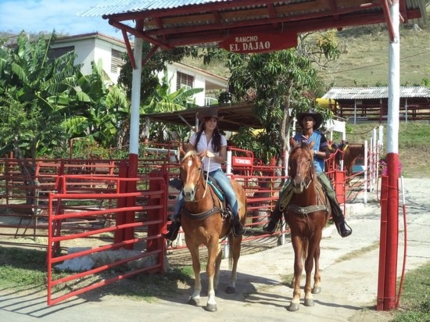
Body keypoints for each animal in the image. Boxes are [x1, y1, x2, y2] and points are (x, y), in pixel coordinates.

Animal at [178, 150, 247, 312]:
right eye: (181, 168)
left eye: (198, 168)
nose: (188, 193)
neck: (199, 208)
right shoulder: (191, 241)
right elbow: (197, 266)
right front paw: (196, 295)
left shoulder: (212, 239)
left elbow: (209, 267)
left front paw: (211, 301)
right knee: (220, 254)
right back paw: (215, 283)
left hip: (235, 236)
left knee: (235, 256)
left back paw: (231, 285)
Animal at [282, 141, 330, 312]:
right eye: (292, 159)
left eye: (309, 159)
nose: (298, 183)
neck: (306, 202)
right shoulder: (296, 232)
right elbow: (298, 264)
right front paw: (295, 299)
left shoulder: (316, 233)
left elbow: (309, 263)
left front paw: (308, 295)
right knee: (303, 255)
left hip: (316, 235)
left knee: (316, 254)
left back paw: (316, 283)